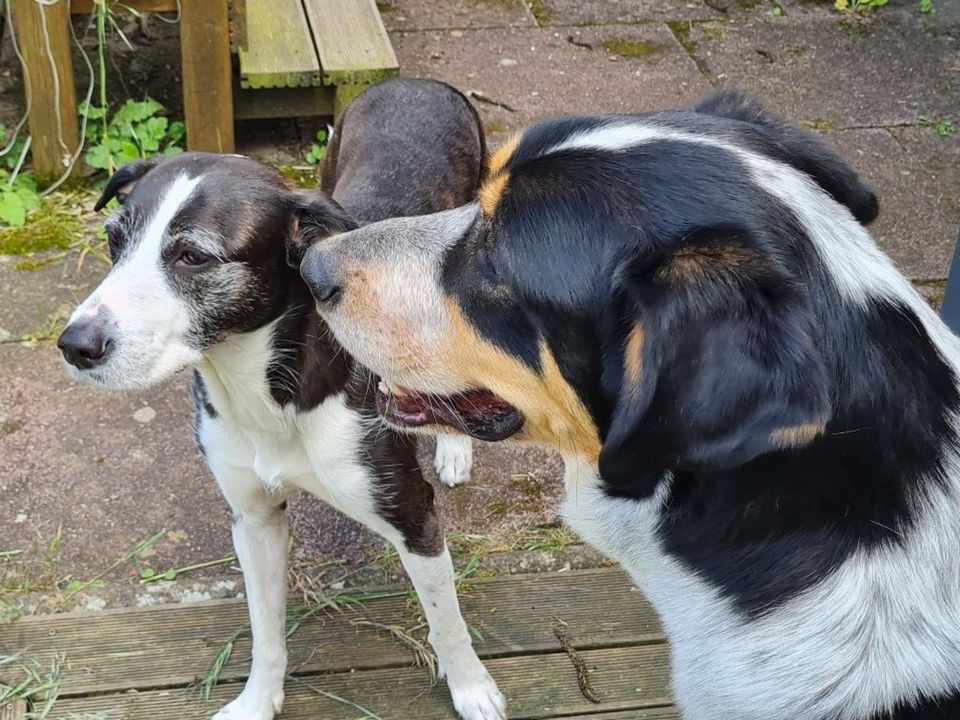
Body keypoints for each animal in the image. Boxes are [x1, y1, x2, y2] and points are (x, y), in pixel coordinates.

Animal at [56, 79, 506, 720]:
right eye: (113, 242)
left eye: (193, 256)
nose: (75, 344)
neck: (267, 391)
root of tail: (415, 81)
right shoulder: (253, 520)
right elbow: (265, 630)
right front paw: (257, 700)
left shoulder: (413, 515)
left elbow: (447, 622)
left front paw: (471, 687)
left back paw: (453, 445)